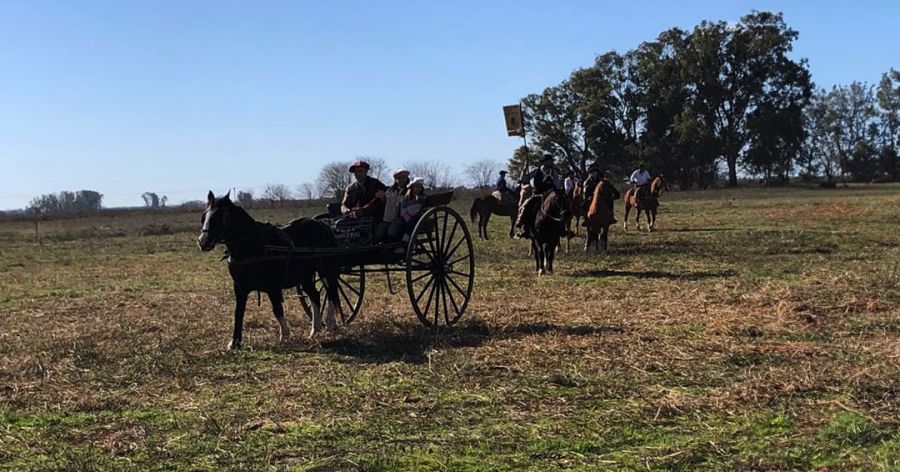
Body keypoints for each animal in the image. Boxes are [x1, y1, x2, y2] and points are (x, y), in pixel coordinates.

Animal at [200, 190, 342, 348]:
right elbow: (238, 312)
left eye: (218, 216)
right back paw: (314, 330)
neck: (253, 246)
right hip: (305, 276)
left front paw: (284, 336)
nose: (202, 241)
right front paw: (235, 342)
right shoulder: (240, 287)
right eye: (204, 216)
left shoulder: (272, 287)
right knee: (315, 296)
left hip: (326, 269)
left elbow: (277, 309)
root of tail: (324, 226)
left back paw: (329, 323)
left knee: (332, 292)